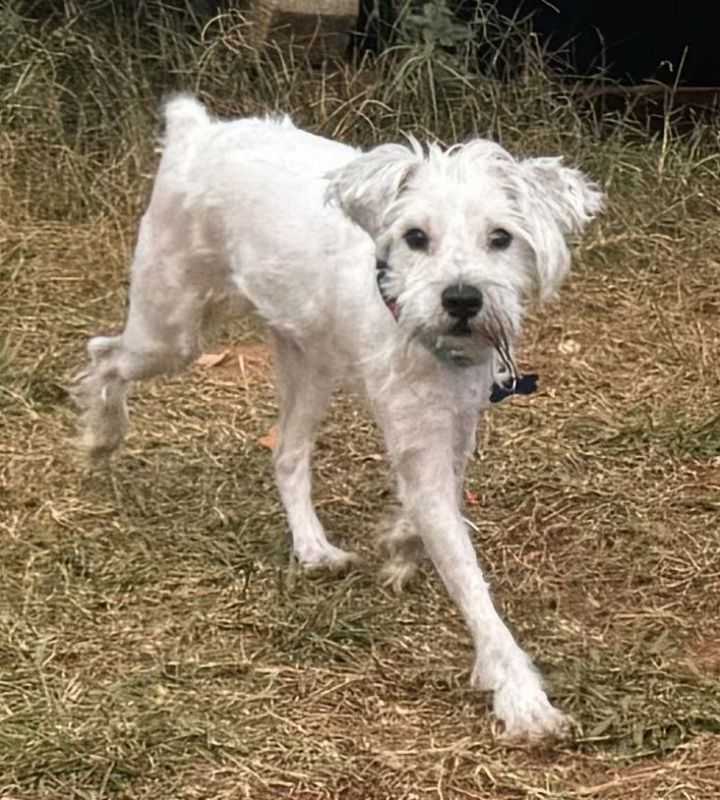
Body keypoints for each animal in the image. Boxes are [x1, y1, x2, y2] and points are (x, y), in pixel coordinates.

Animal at [74, 97, 600, 740]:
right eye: (415, 237)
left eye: (500, 237)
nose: (461, 298)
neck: (410, 317)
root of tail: (197, 131)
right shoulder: (422, 443)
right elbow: (470, 581)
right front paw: (521, 695)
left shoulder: (454, 426)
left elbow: (435, 510)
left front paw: (399, 542)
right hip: (168, 331)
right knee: (104, 355)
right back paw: (101, 436)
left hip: (308, 363)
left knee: (286, 455)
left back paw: (312, 547)